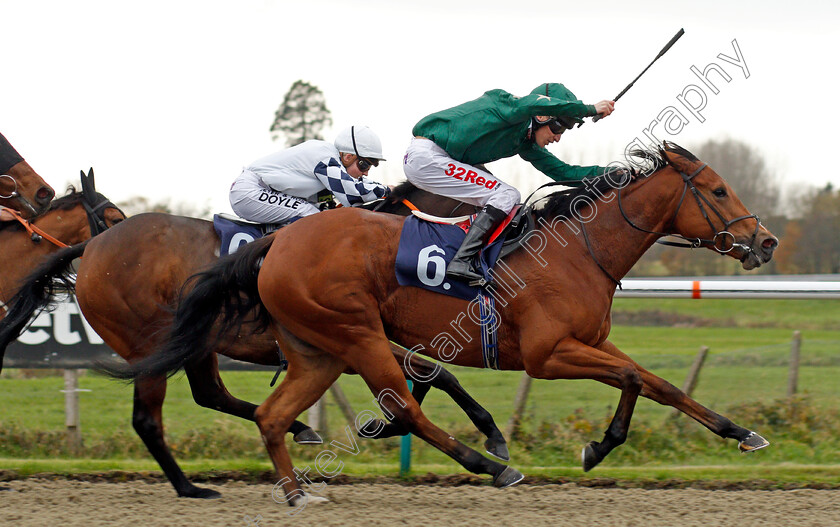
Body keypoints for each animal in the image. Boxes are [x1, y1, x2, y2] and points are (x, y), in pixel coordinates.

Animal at [0, 185, 498, 500]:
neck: (367, 238)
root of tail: (92, 250)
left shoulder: (358, 337)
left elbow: (434, 372)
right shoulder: (352, 335)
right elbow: (430, 372)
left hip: (195, 343)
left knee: (210, 394)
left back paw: (297, 431)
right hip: (148, 343)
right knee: (148, 419)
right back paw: (190, 487)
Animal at [121, 142, 776, 506]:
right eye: (719, 189)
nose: (765, 241)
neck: (578, 250)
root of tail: (278, 242)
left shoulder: (592, 343)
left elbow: (658, 383)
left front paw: (739, 432)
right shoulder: (548, 354)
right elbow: (636, 381)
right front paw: (598, 446)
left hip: (316, 349)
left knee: (272, 416)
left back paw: (297, 493)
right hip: (356, 333)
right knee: (405, 408)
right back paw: (492, 465)